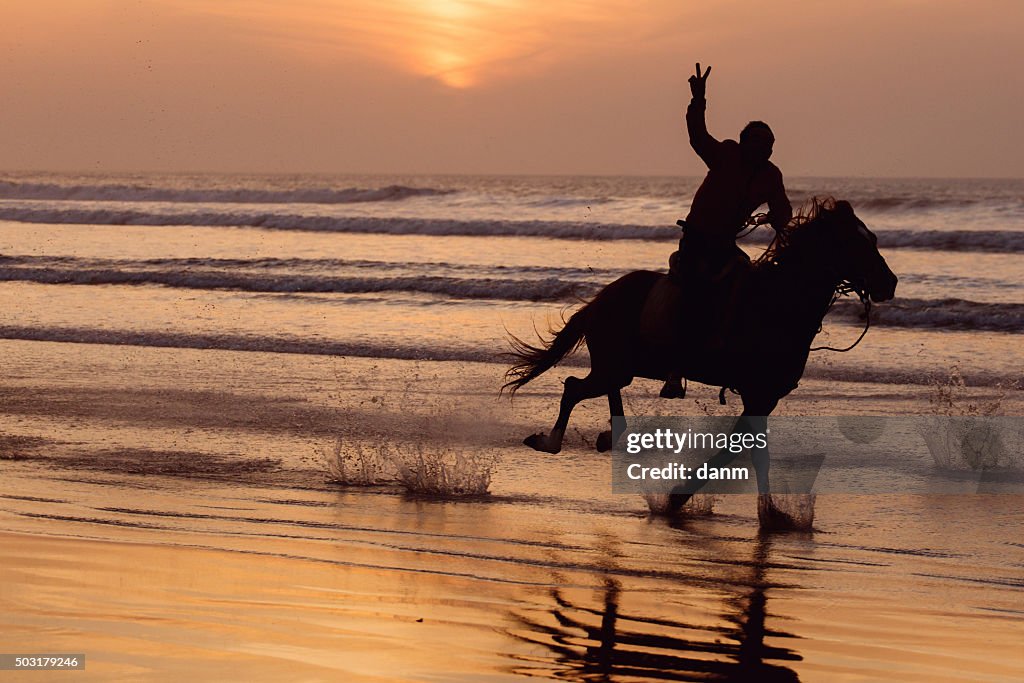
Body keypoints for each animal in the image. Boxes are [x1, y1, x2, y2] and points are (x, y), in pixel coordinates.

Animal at [503, 197, 897, 501]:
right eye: (855, 243)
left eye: (874, 238)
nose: (889, 283)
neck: (778, 302)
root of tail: (599, 301)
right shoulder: (758, 394)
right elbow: (738, 450)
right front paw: (680, 497)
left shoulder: (765, 397)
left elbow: (753, 453)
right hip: (613, 366)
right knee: (573, 387)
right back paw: (550, 442)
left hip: (619, 367)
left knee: (602, 390)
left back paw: (611, 436)